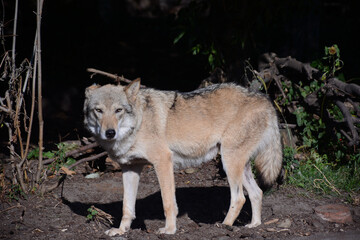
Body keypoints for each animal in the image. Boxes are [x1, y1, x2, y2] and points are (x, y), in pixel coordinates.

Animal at [83, 80, 282, 236]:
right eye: (98, 110)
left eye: (118, 110)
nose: (110, 132)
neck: (138, 123)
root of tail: (265, 100)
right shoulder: (130, 168)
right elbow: (127, 206)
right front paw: (121, 230)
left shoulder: (163, 161)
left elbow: (168, 202)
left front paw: (170, 230)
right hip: (240, 166)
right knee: (257, 193)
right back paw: (254, 226)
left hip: (229, 162)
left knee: (239, 198)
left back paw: (223, 226)